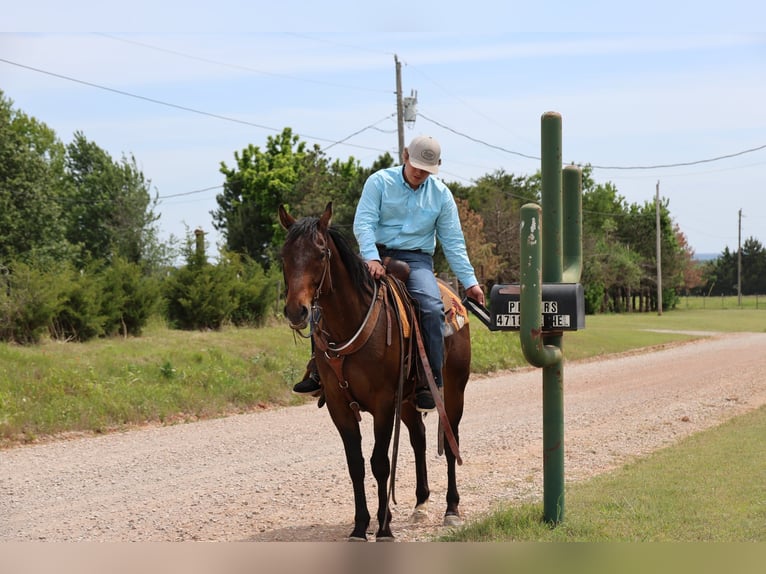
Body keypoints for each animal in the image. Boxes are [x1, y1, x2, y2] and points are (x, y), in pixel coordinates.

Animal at [278, 201, 472, 541]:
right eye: (283, 256)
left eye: (321, 253)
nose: (296, 311)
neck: (351, 324)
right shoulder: (340, 406)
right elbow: (355, 464)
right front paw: (360, 526)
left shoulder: (383, 403)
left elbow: (380, 462)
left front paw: (383, 528)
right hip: (407, 400)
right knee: (419, 439)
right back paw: (421, 505)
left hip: (452, 392)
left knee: (450, 442)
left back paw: (451, 509)